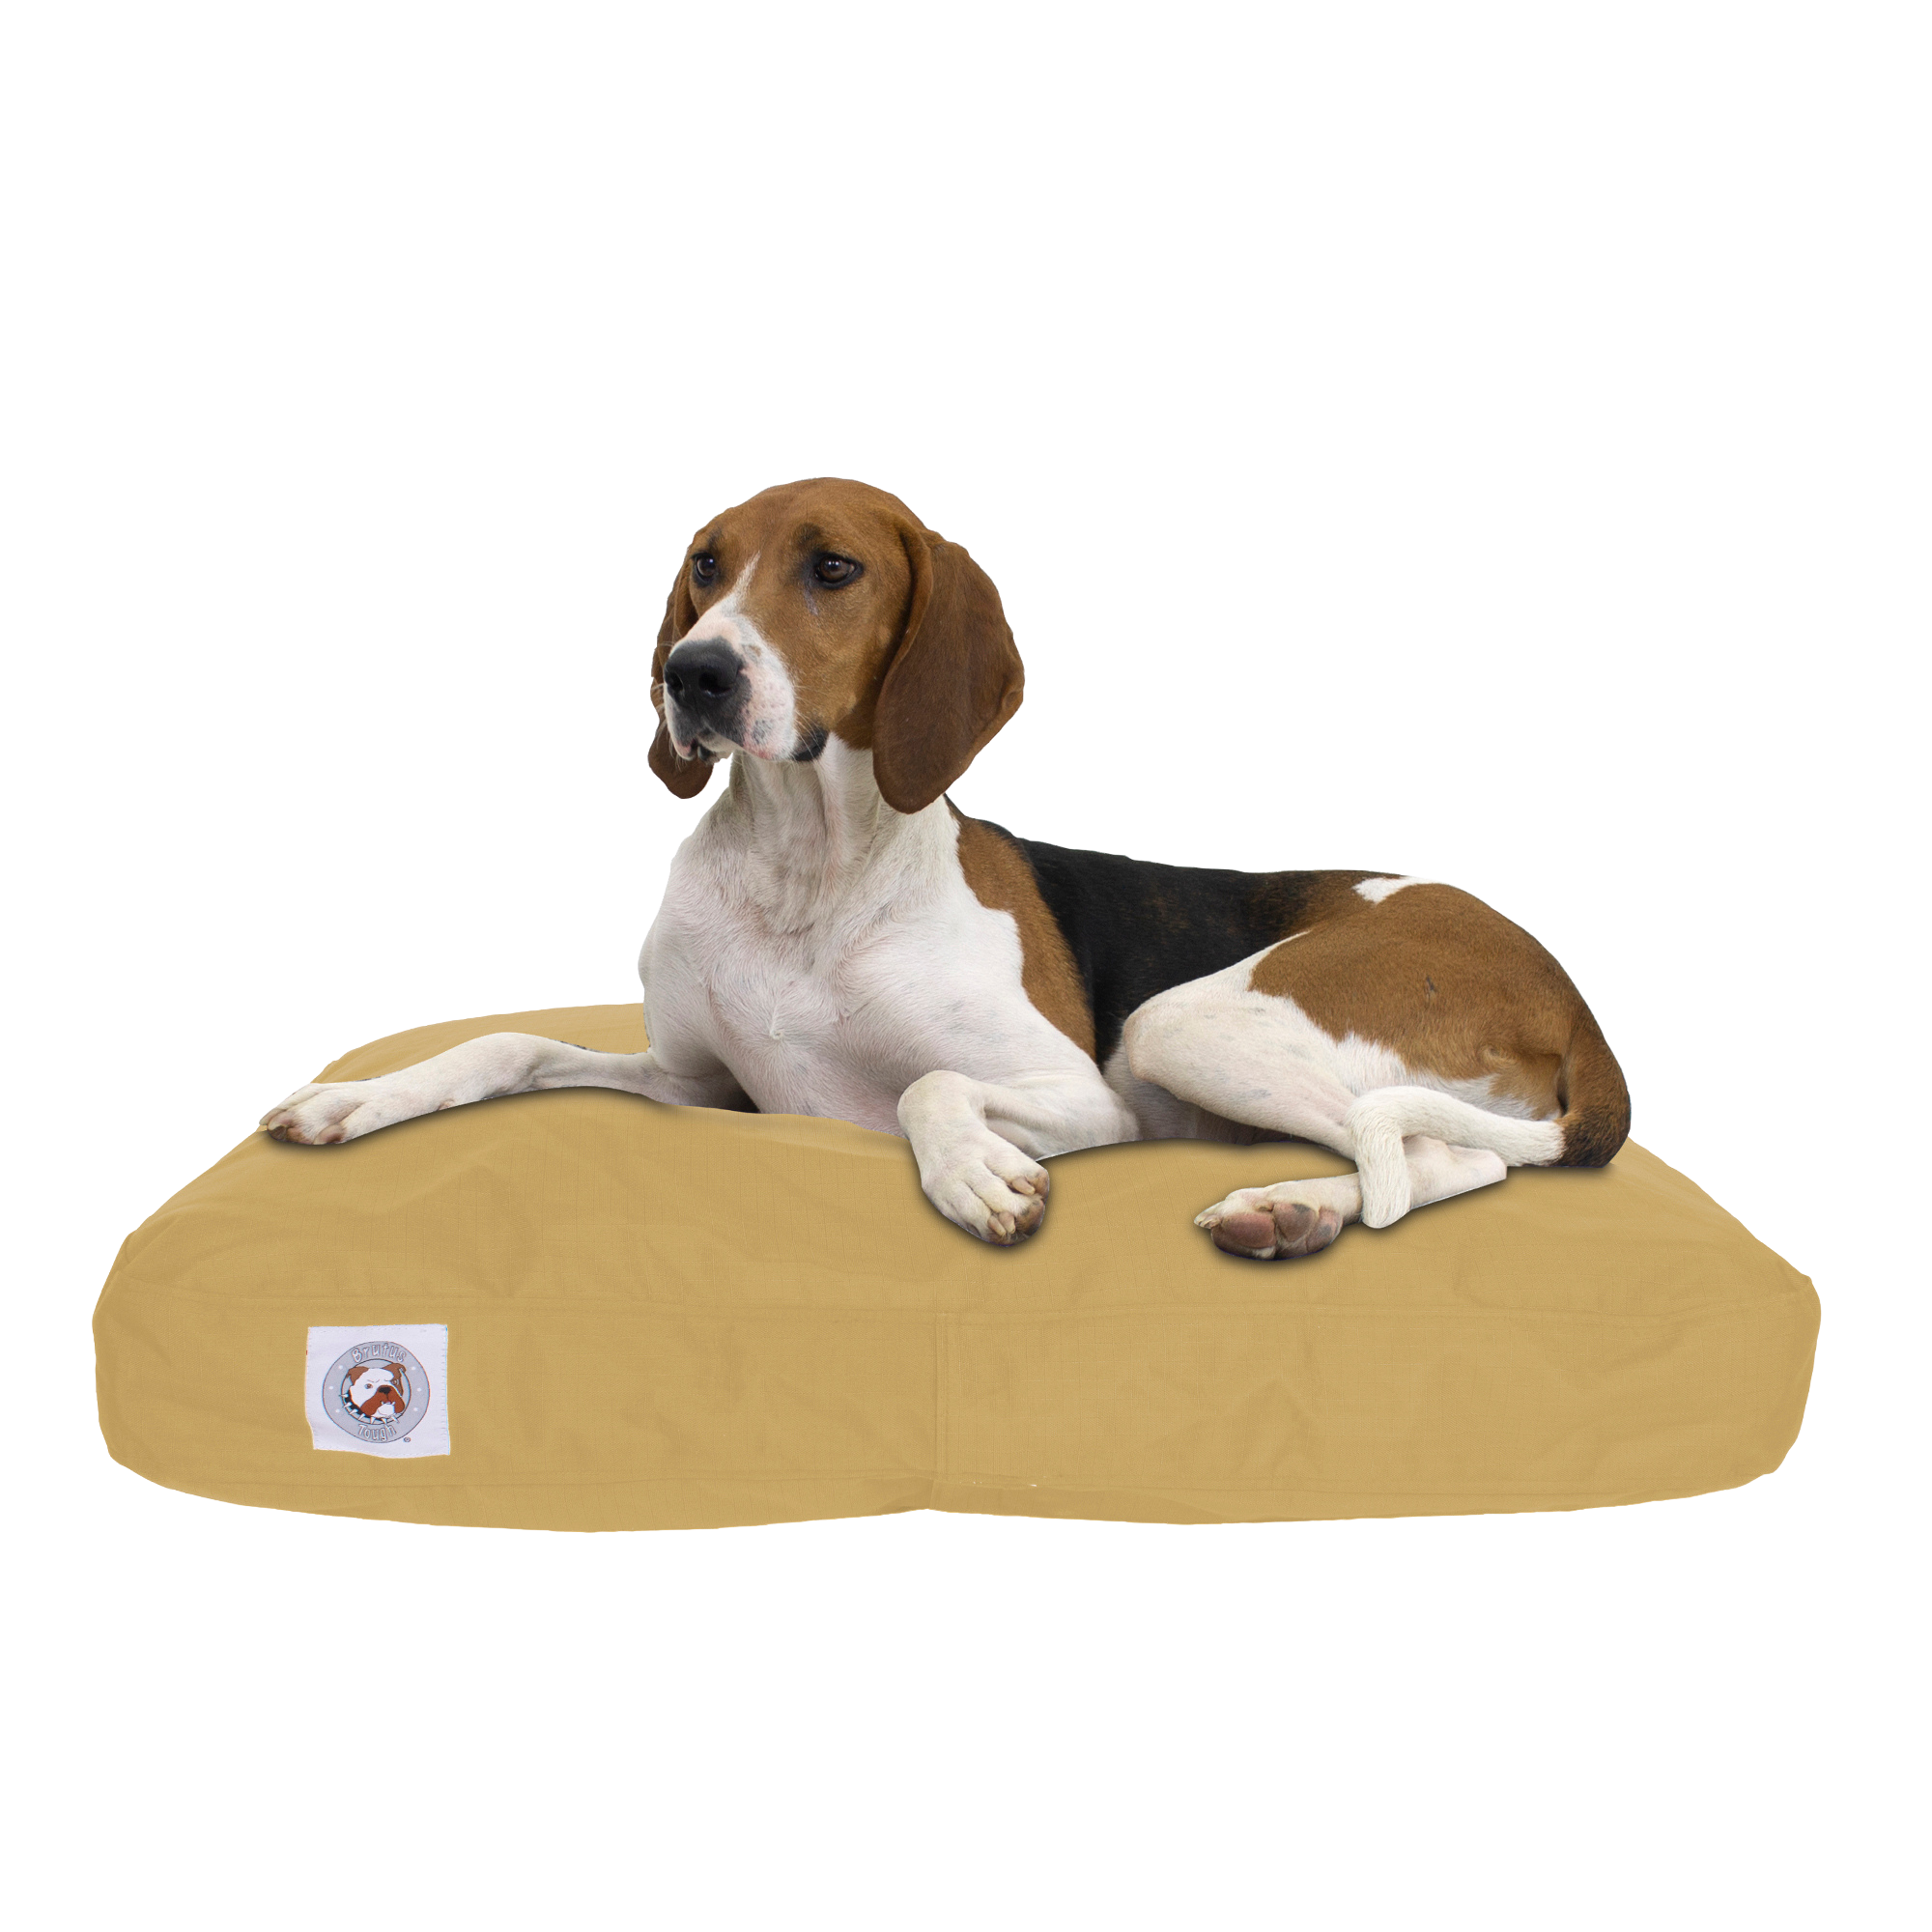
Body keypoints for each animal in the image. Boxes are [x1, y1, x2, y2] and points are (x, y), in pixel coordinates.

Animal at [261, 477, 1629, 1259]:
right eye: (704, 562)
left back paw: (1291, 1204)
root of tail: (1562, 985)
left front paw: (972, 1172)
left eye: (833, 568)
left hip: (1180, 1028)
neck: (803, 870)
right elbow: (506, 1042)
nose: (691, 675)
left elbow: (927, 1085)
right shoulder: (701, 1082)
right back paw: (1293, 1208)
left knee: (1435, 1156)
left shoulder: (1088, 1095)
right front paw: (354, 1099)